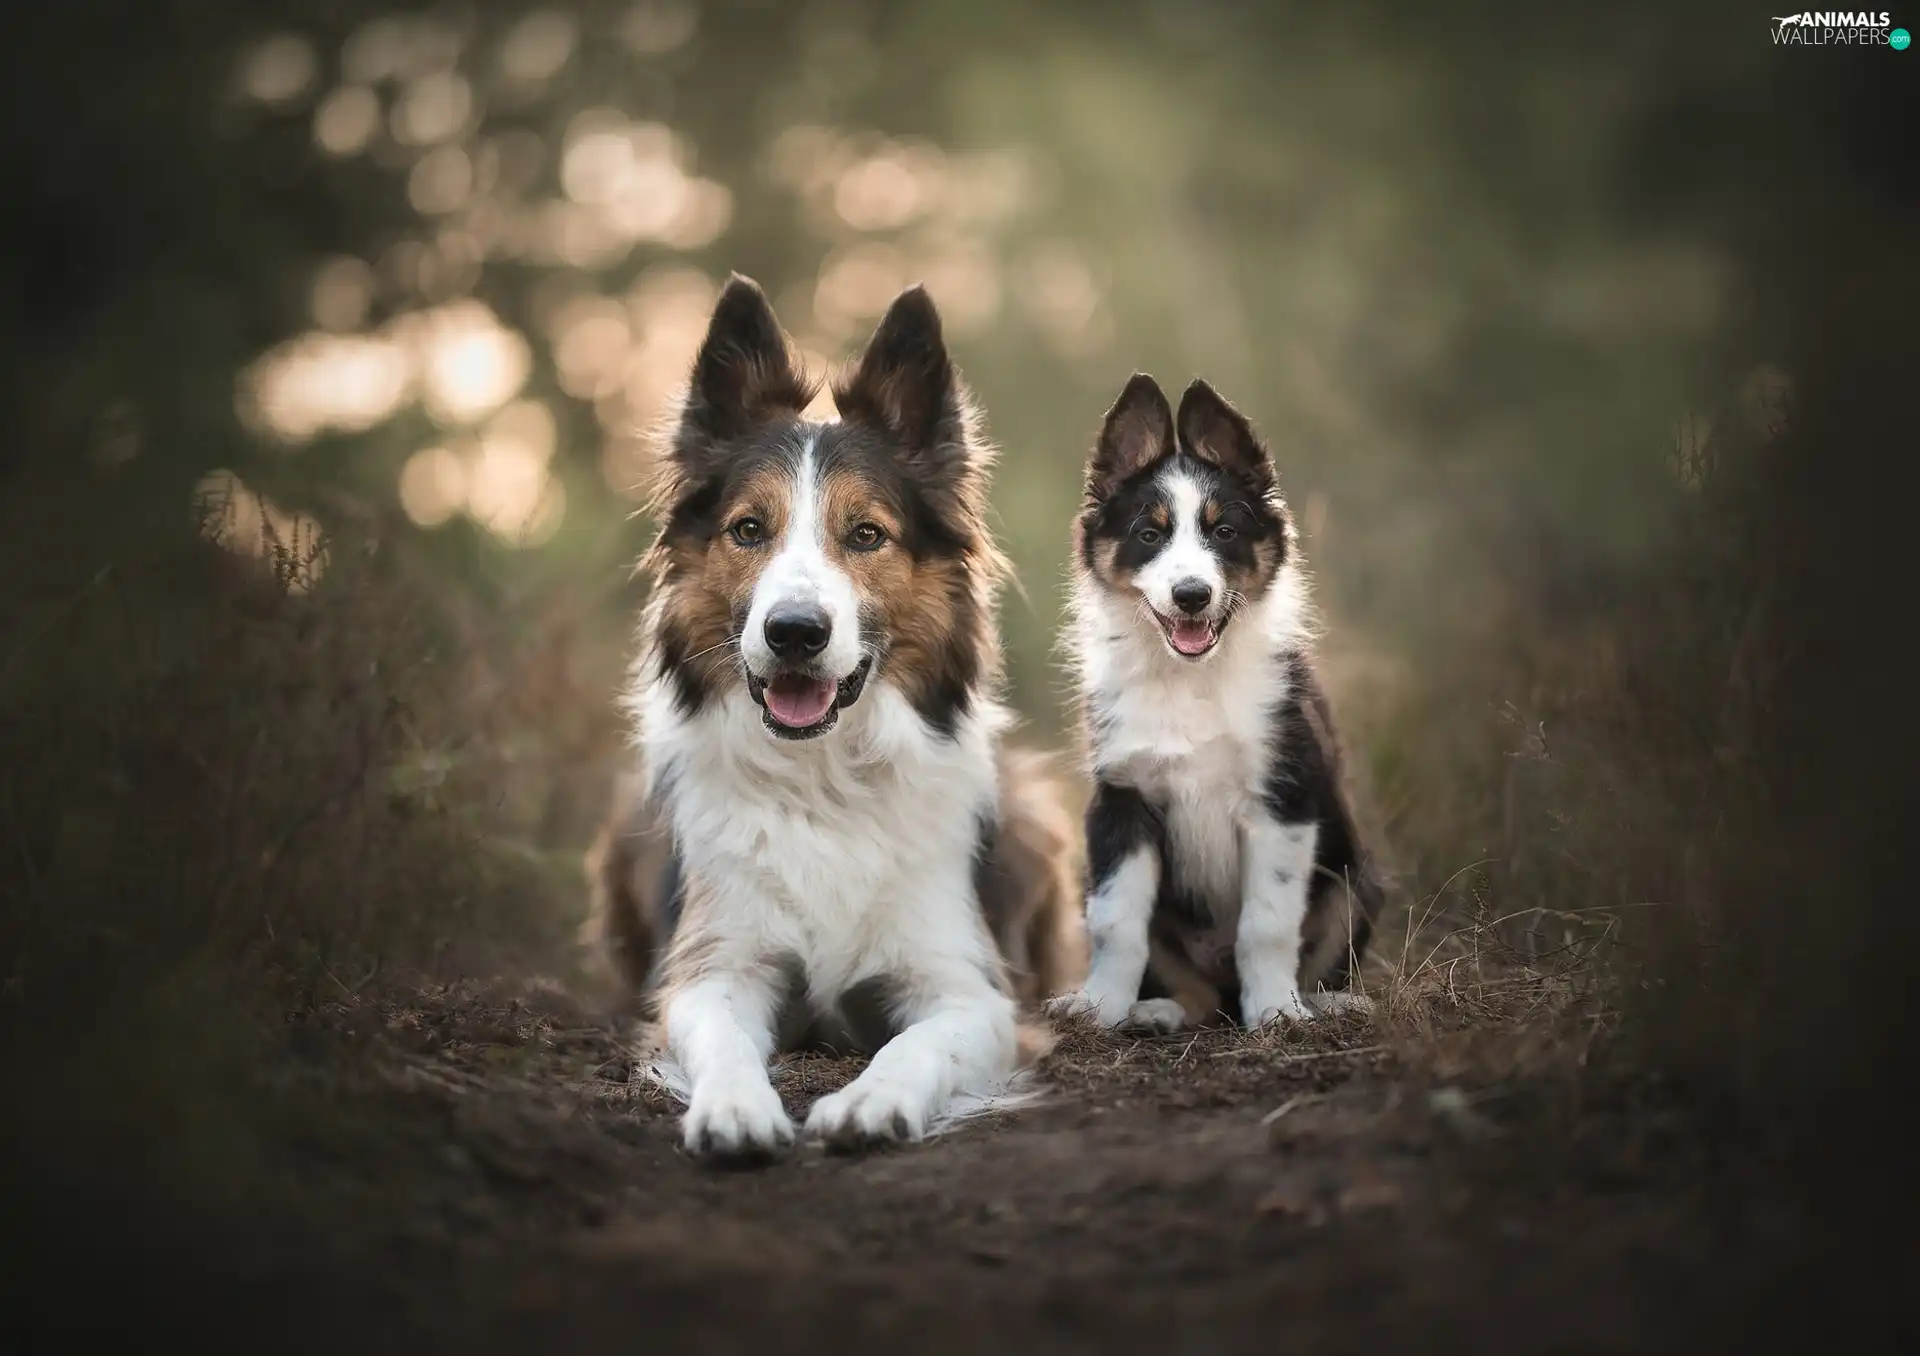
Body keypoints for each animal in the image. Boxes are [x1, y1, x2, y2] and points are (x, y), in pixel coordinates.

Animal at [587, 274, 1082, 1152]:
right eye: (749, 528)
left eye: (866, 534)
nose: (794, 632)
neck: (825, 777)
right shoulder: (717, 965)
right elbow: (719, 1037)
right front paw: (736, 1108)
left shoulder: (964, 987)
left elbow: (918, 1045)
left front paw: (870, 1102)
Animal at [1052, 374, 1382, 1029]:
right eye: (1149, 535)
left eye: (1224, 532)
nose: (1191, 595)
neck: (1191, 678)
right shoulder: (1120, 802)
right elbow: (1117, 923)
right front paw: (1100, 1006)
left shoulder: (1283, 797)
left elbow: (1269, 924)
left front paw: (1276, 1011)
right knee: (1200, 999)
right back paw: (1160, 1011)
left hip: (1355, 879)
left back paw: (1327, 1002)